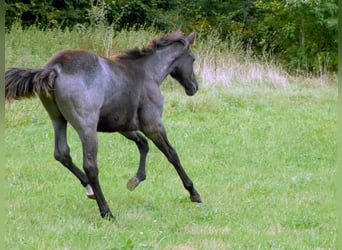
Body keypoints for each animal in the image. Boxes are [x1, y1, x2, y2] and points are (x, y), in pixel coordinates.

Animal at [5, 30, 202, 220]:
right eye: (192, 59)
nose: (194, 87)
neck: (147, 73)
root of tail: (54, 69)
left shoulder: (124, 127)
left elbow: (143, 144)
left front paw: (136, 180)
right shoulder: (153, 125)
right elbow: (172, 154)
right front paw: (194, 193)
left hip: (58, 119)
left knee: (62, 154)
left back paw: (89, 189)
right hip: (87, 128)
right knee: (91, 166)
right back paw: (106, 212)